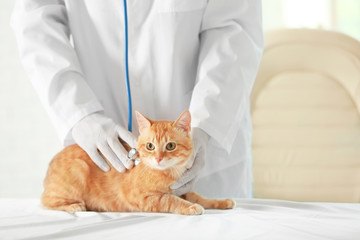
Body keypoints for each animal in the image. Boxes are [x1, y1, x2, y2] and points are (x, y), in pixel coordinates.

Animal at [40, 109, 235, 215]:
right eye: (150, 146)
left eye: (170, 146)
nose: (158, 158)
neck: (169, 173)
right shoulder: (143, 198)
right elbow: (170, 200)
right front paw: (191, 207)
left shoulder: (183, 189)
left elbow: (199, 197)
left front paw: (221, 202)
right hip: (75, 174)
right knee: (46, 201)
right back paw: (74, 206)